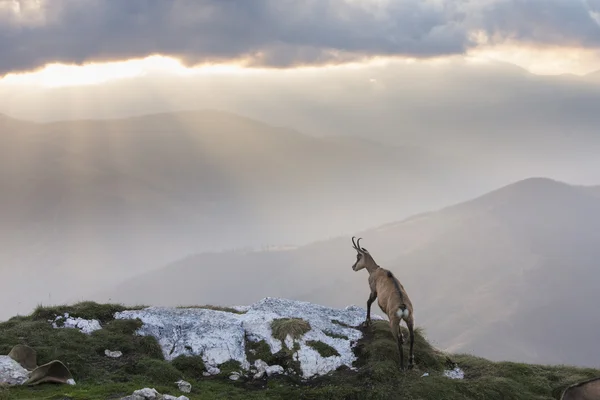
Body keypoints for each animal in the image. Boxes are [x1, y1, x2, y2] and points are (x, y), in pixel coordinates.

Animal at [350, 236, 414, 370]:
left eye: (358, 256)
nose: (353, 267)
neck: (374, 270)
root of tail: (403, 307)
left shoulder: (373, 290)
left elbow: (368, 302)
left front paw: (367, 322)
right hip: (409, 318)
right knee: (412, 337)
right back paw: (410, 362)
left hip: (393, 321)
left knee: (397, 339)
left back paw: (401, 365)